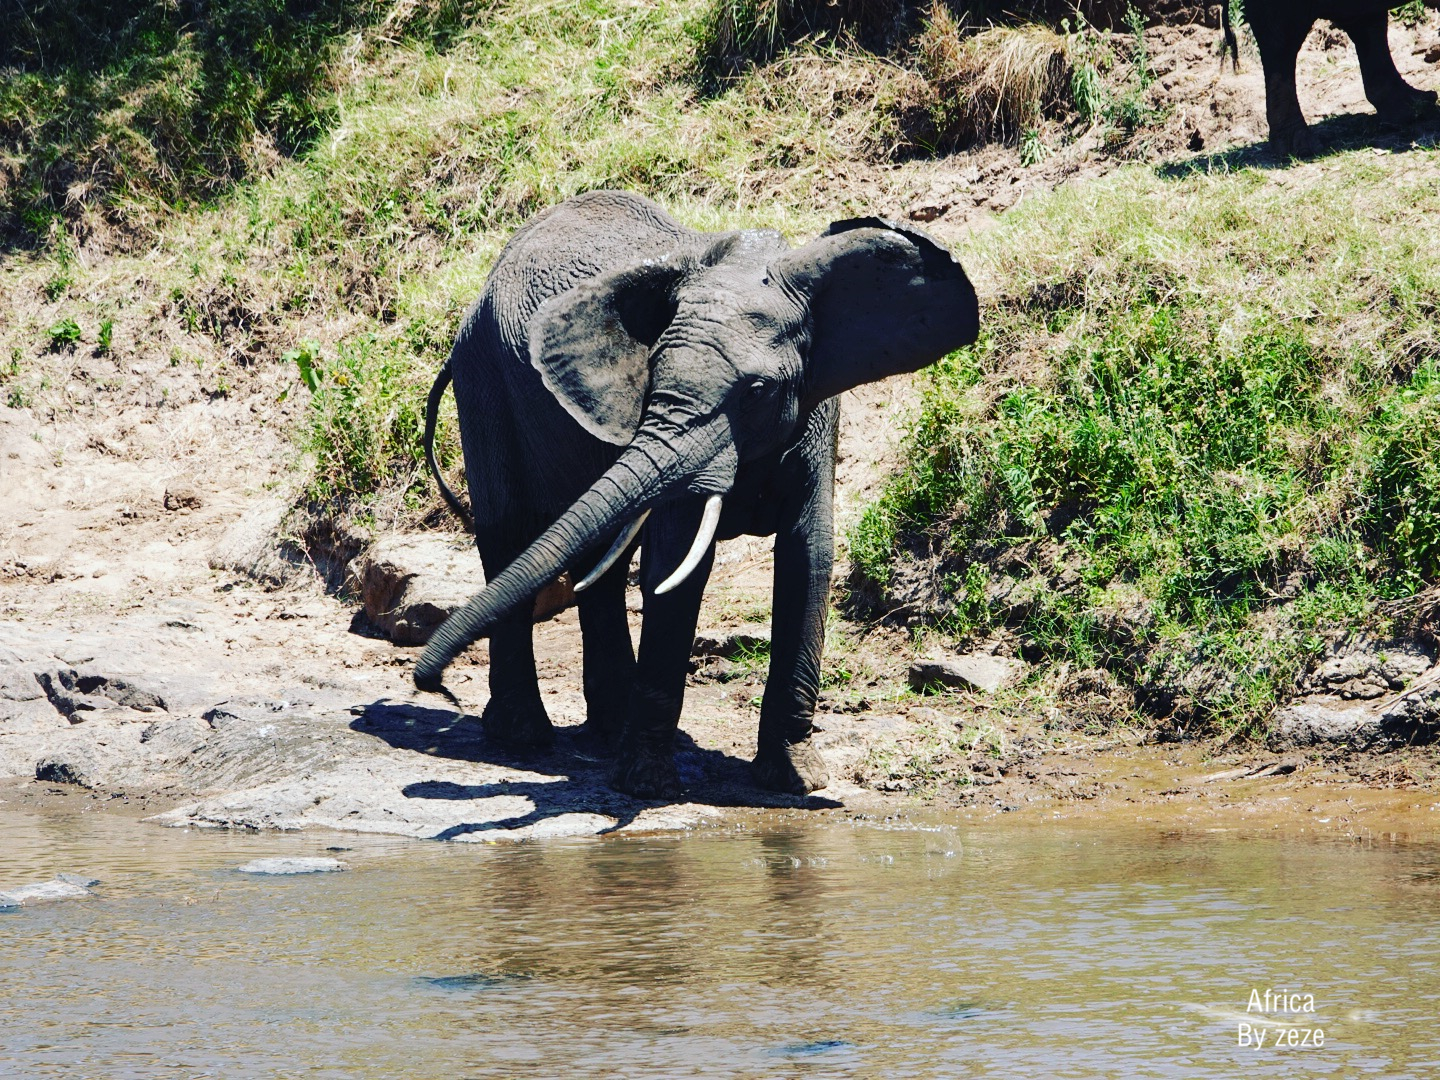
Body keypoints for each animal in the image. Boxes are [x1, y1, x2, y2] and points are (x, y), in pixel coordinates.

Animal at [414, 192, 979, 806]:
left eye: (757, 392)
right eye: (651, 374)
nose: (430, 683)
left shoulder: (815, 407)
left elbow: (808, 554)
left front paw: (797, 781)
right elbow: (678, 562)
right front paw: (647, 786)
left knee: (597, 563)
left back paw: (607, 730)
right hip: (483, 380)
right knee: (508, 537)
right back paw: (524, 738)